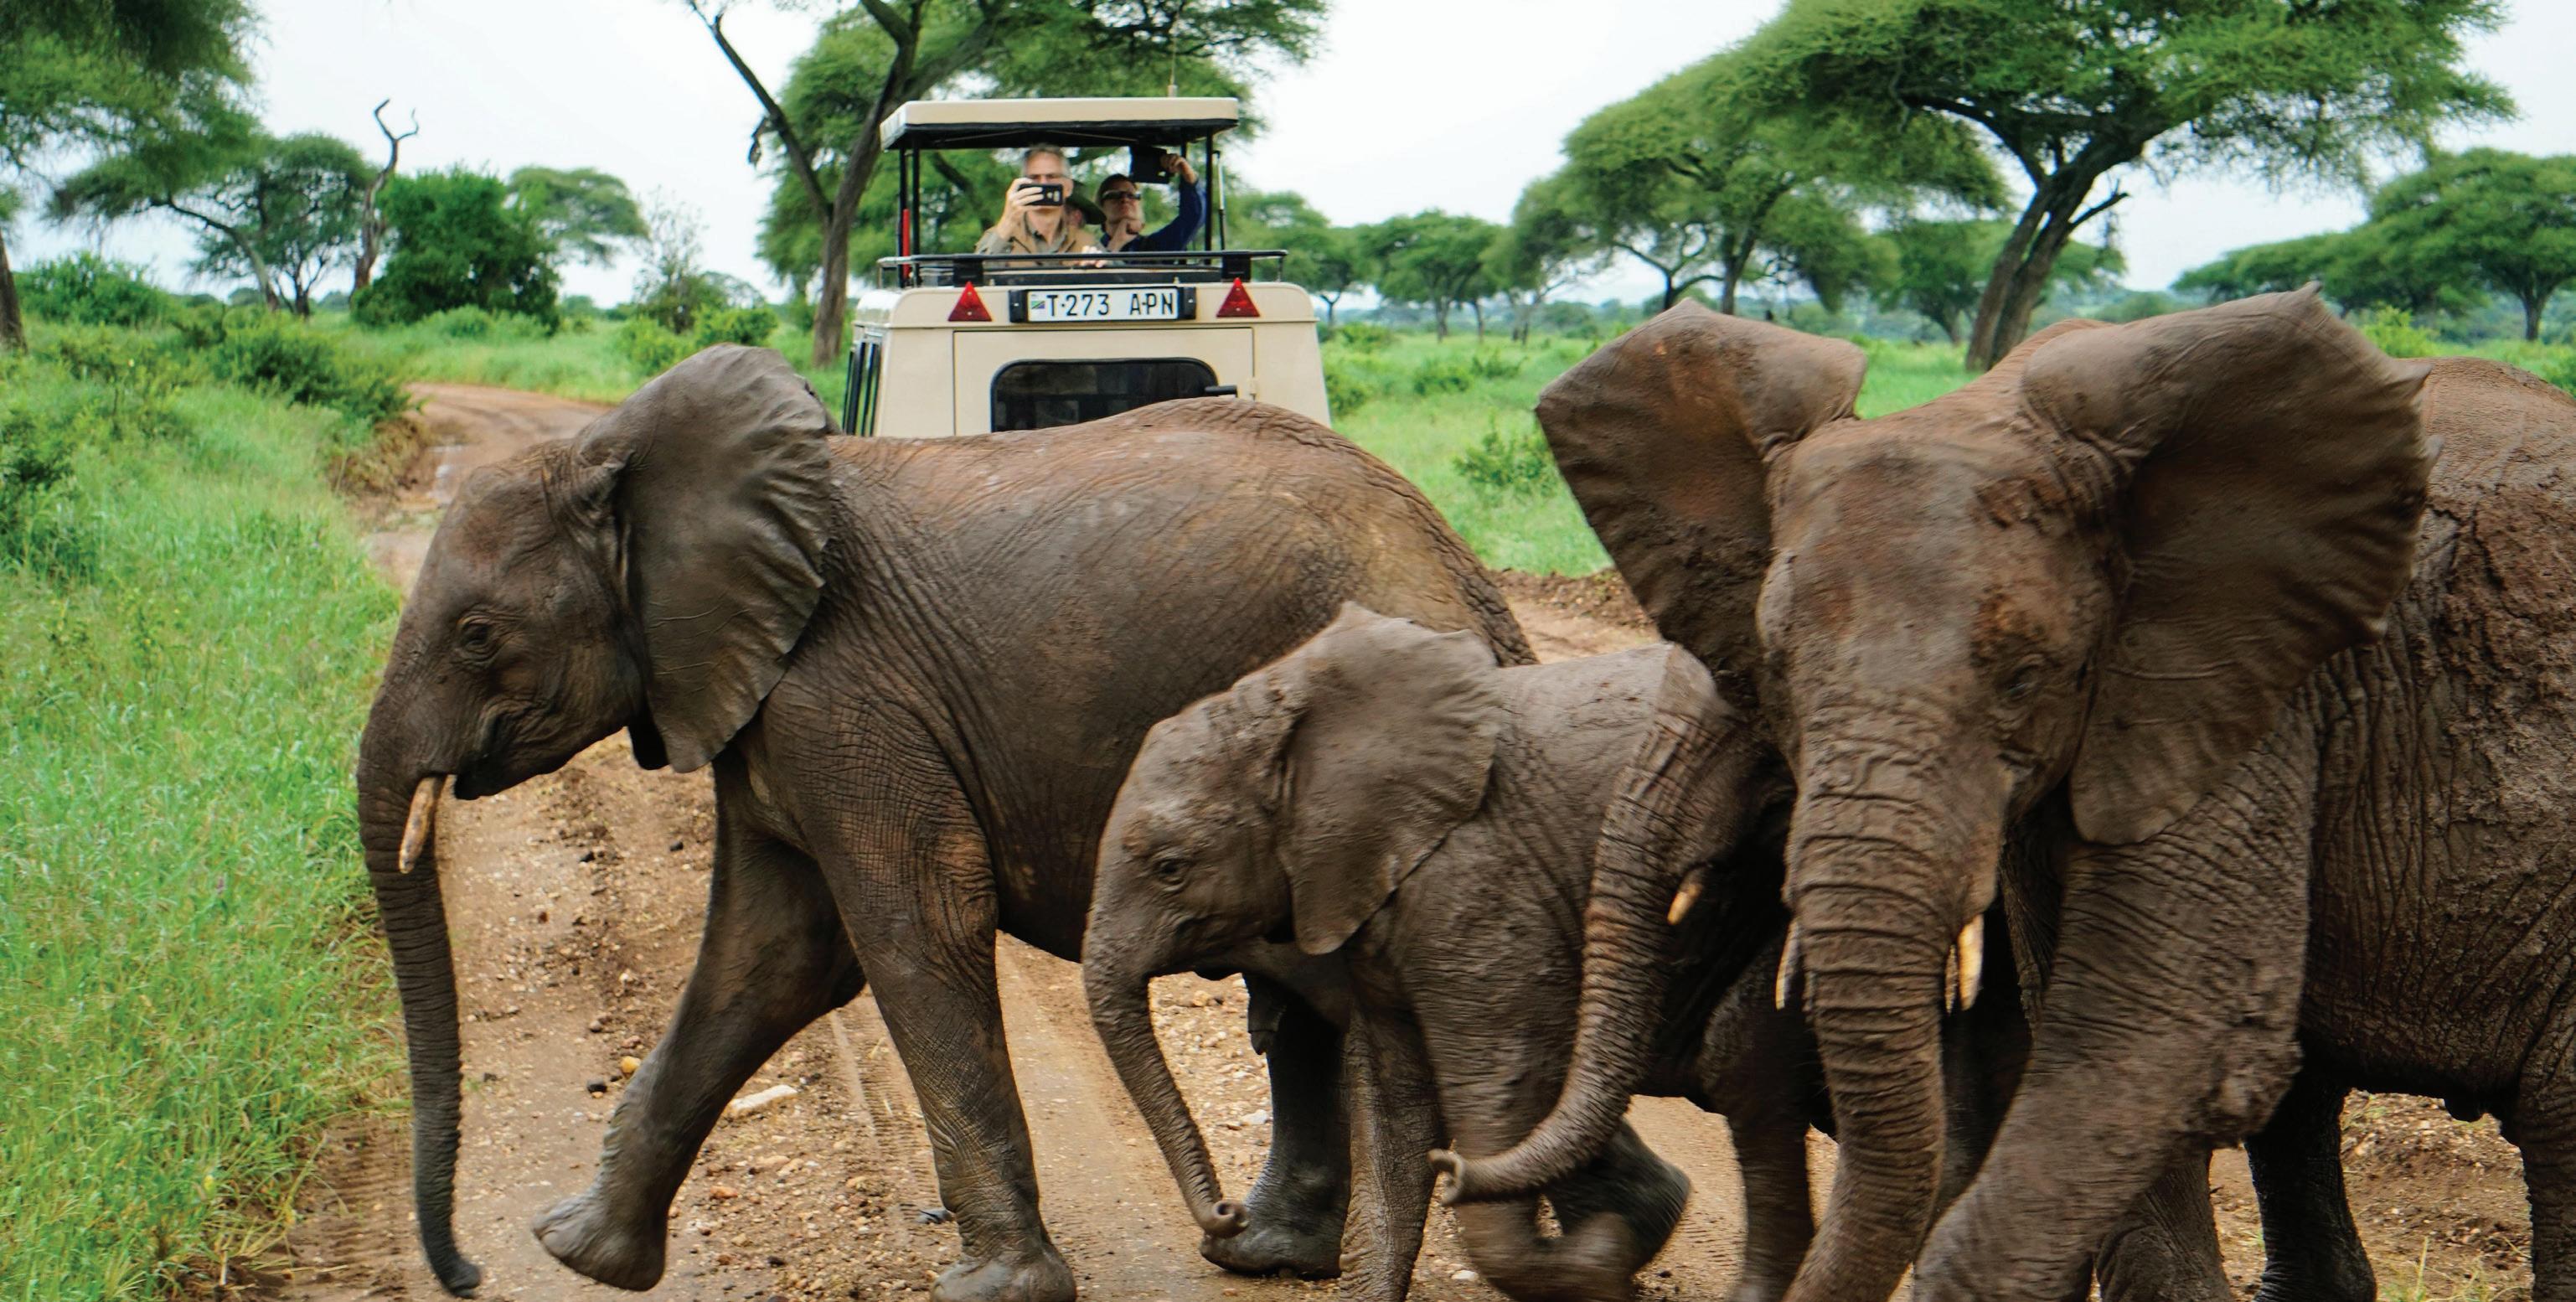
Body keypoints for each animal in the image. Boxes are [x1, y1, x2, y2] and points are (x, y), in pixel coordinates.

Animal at [353, 345, 1534, 1300]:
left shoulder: (841, 696)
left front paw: (996, 1289)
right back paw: (1262, 1254)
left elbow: (916, 923)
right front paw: (577, 1252)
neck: (622, 457)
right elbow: (772, 953)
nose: (463, 1273)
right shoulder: (768, 706)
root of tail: (1474, 584)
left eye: (474, 636)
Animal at [1083, 605, 2037, 1302]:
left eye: (1169, 868)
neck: (1302, 706)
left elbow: (1492, 1098)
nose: (1224, 1214)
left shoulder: (1479, 895)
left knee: (1751, 1078)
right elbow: (1394, 1107)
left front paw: (1604, 1257)